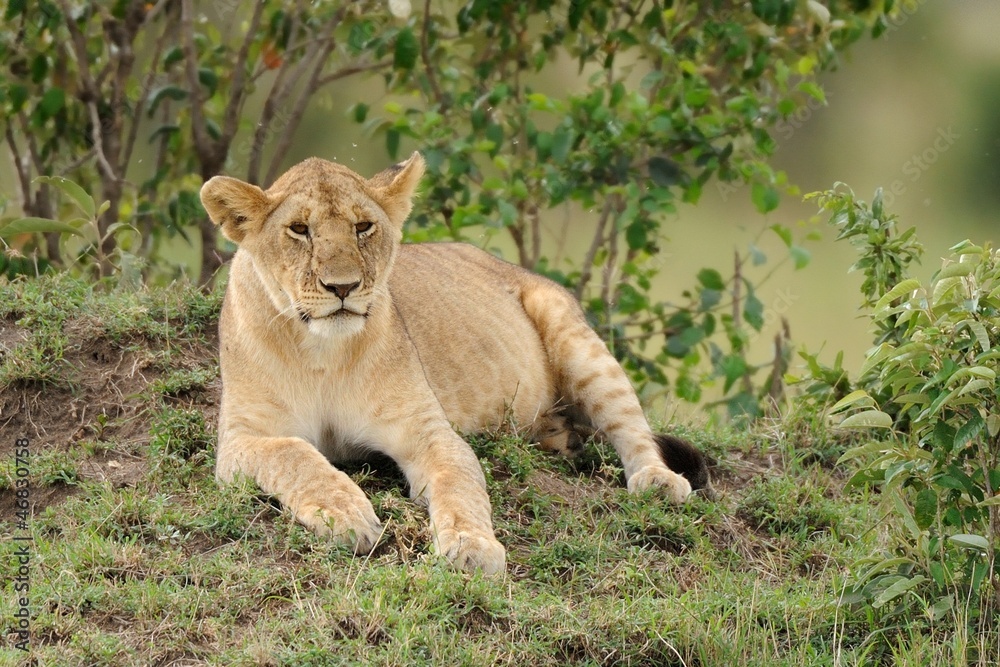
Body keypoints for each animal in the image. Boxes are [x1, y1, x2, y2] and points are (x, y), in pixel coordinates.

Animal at [199, 153, 711, 575]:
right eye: (299, 230)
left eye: (363, 227)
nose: (342, 287)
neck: (323, 353)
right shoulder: (241, 440)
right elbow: (294, 455)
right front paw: (346, 514)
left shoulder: (427, 431)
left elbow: (458, 486)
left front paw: (472, 547)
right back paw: (557, 437)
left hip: (576, 338)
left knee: (631, 427)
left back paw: (656, 479)